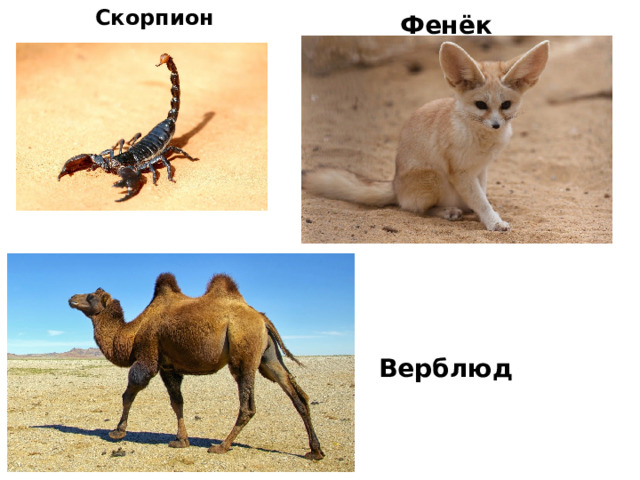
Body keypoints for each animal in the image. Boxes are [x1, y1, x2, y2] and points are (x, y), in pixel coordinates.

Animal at [67, 273, 325, 460]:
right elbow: (177, 402)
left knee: (247, 405)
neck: (131, 332)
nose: (71, 298)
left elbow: (129, 393)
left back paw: (221, 446)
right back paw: (315, 451)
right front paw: (181, 440)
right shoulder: (169, 367)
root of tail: (263, 319)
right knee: (297, 394)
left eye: (91, 295)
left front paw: (117, 432)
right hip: (269, 357)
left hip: (244, 351)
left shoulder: (148, 355)